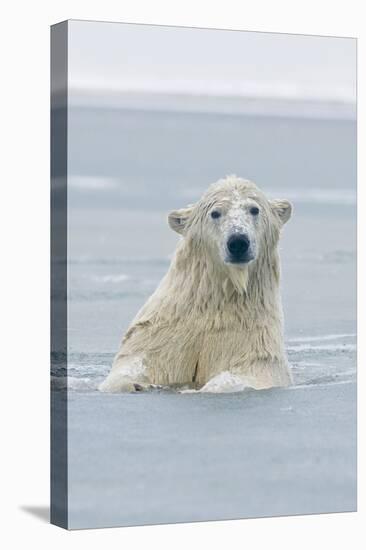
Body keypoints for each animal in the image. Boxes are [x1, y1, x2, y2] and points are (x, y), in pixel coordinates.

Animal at [98, 175, 294, 394]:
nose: (238, 241)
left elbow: (250, 371)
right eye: (215, 213)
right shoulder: (162, 331)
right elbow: (137, 360)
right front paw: (135, 384)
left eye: (254, 209)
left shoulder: (253, 339)